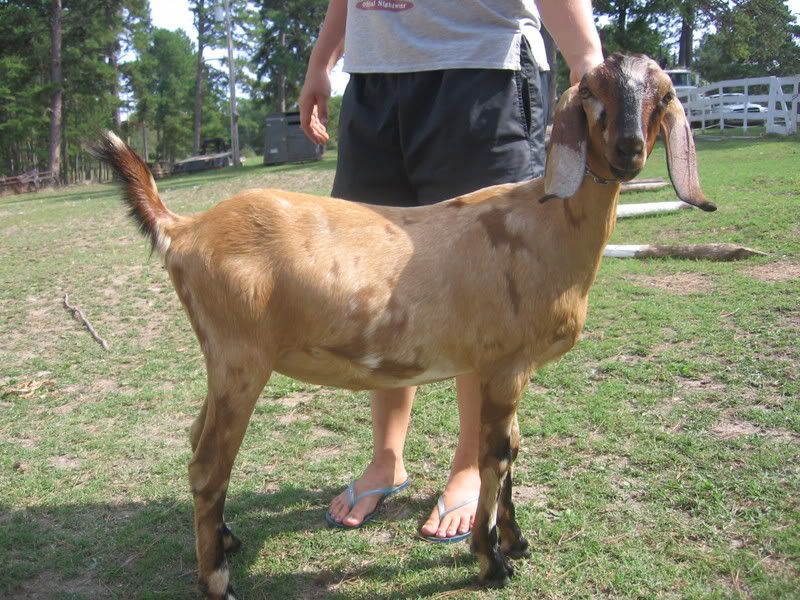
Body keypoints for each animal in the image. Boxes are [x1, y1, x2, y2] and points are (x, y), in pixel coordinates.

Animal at [92, 53, 715, 599]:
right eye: (589, 94)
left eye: (664, 96)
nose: (628, 149)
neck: (545, 225)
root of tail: (183, 227)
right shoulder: (505, 364)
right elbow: (495, 456)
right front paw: (490, 562)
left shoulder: (507, 368)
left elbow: (513, 447)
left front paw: (515, 542)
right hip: (239, 359)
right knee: (207, 465)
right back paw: (217, 580)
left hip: (222, 362)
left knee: (196, 440)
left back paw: (226, 542)